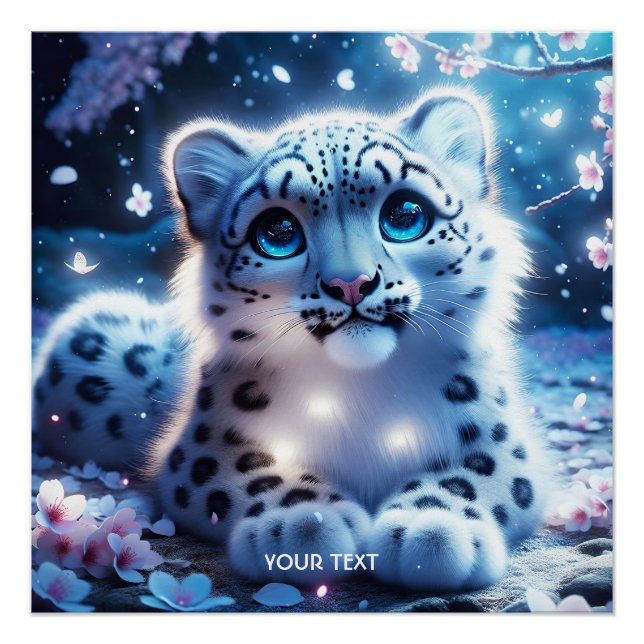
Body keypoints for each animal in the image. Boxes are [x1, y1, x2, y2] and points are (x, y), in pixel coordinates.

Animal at [32, 88, 549, 591]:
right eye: (278, 232)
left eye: (405, 214)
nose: (351, 284)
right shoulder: (205, 444)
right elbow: (248, 470)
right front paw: (305, 522)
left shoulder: (499, 437)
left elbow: (472, 475)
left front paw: (433, 531)